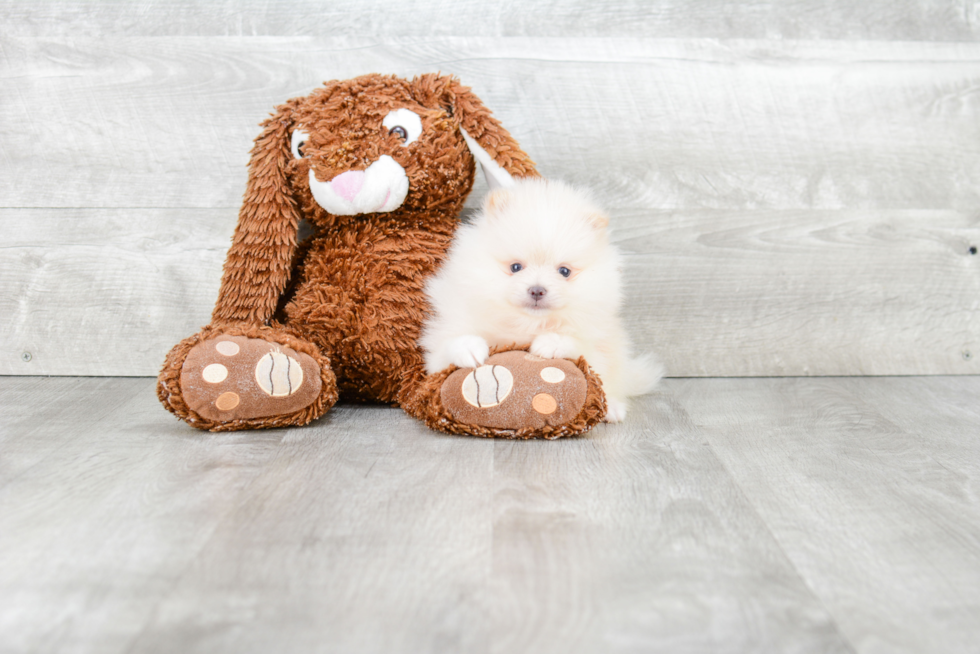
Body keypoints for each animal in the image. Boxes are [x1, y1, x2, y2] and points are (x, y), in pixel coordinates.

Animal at [418, 178, 664, 426]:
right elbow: (447, 347)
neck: (527, 324)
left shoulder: (597, 340)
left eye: (564, 271)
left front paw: (550, 343)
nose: (537, 290)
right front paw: (470, 348)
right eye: (516, 267)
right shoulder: (445, 337)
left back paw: (612, 408)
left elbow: (580, 346)